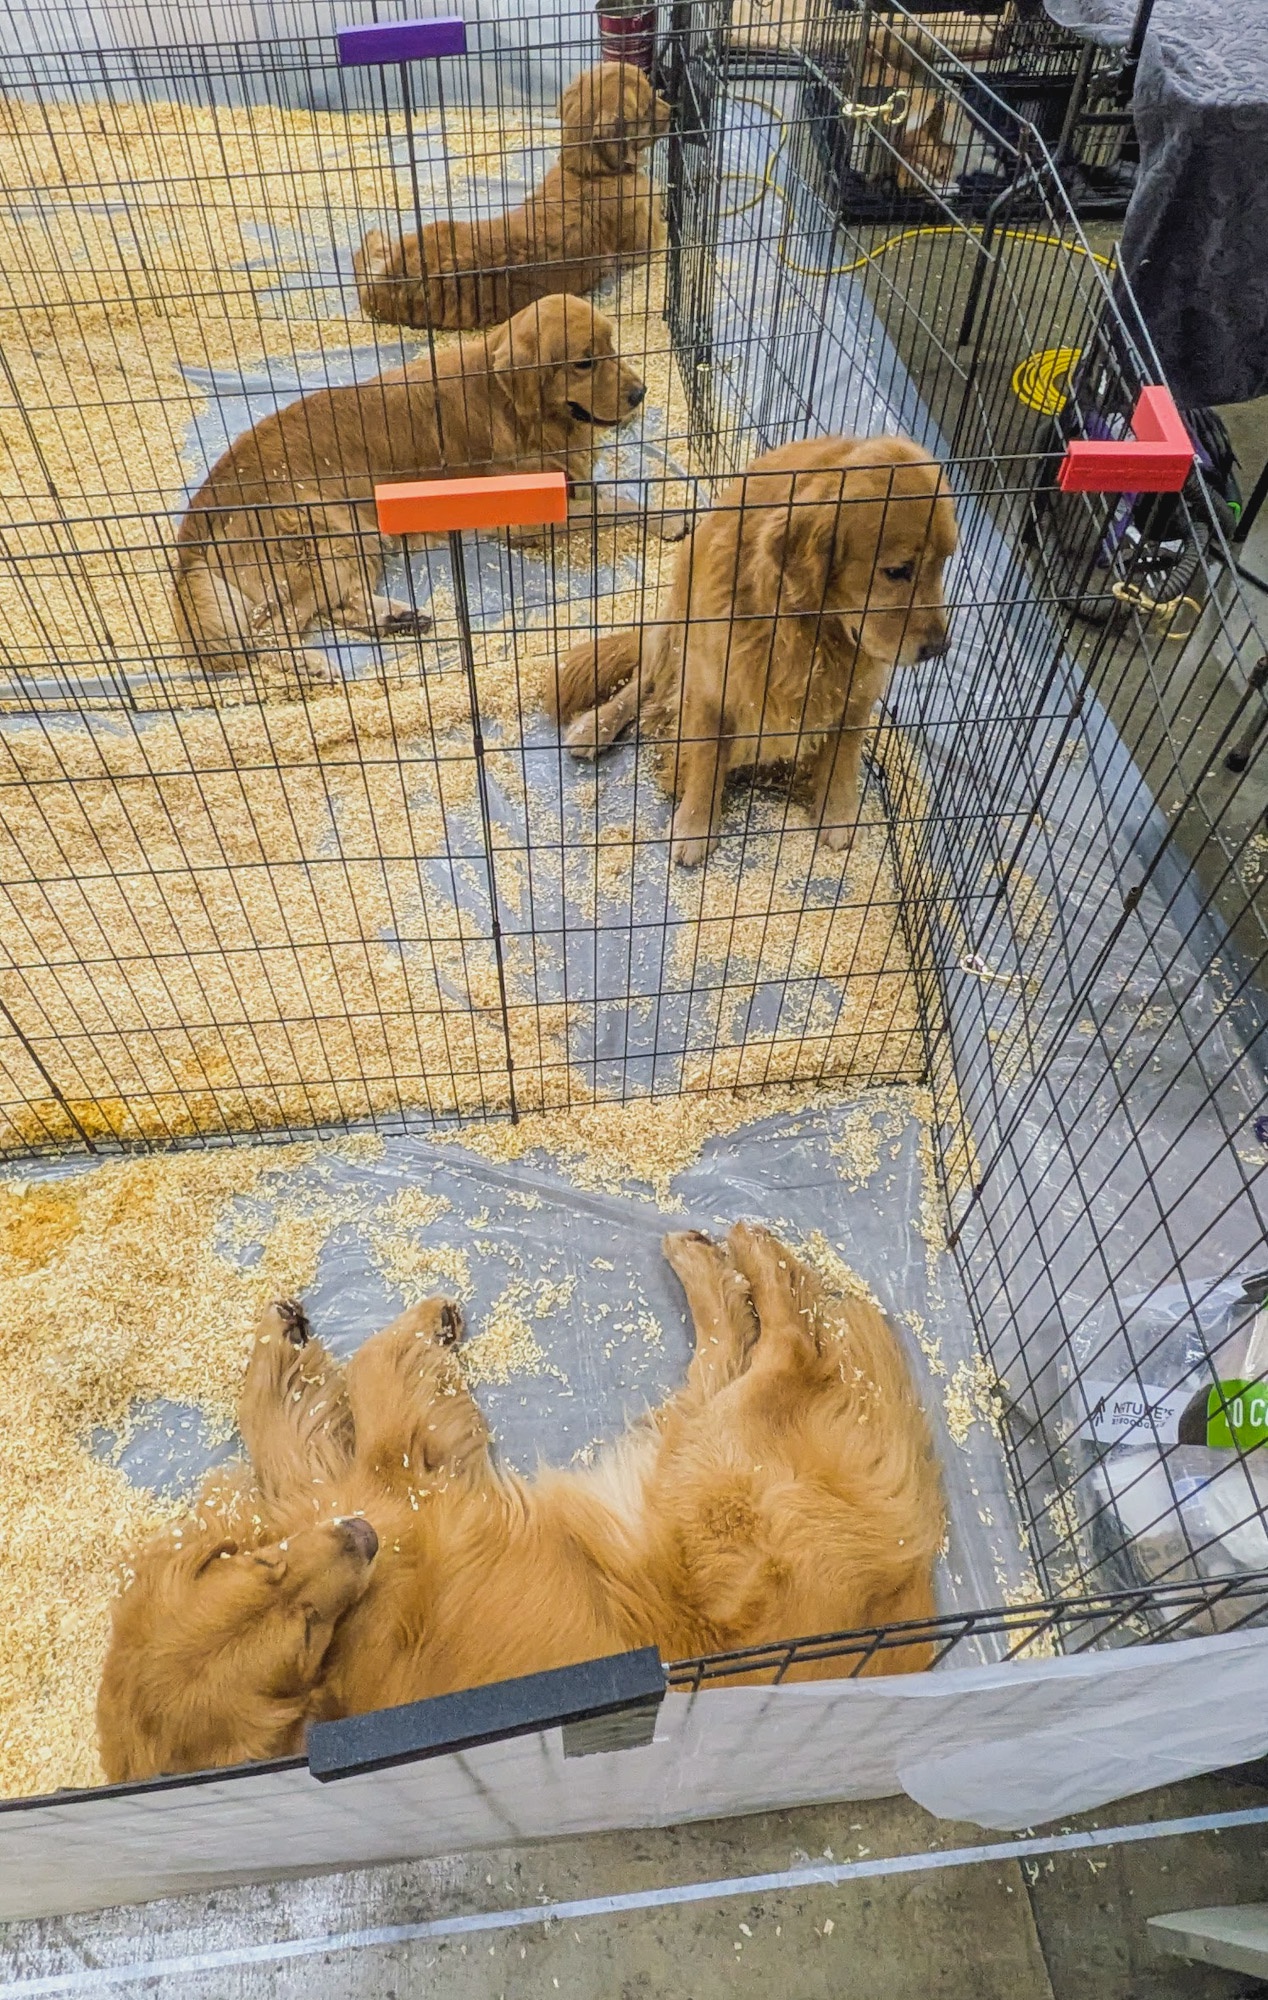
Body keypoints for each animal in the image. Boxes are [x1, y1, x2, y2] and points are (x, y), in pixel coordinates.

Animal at [99, 1224, 944, 1776]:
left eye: (261, 1573)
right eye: (301, 1635)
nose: (361, 1538)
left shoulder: (370, 1486)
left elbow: (312, 1403)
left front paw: (292, 1340)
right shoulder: (386, 1483)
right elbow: (355, 1389)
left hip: (697, 1455)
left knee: (760, 1342)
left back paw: (720, 1251)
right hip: (710, 1468)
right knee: (780, 1346)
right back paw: (737, 1257)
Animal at [548, 434, 952, 864]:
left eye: (944, 564)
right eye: (897, 571)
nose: (940, 647)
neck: (803, 629)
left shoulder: (860, 687)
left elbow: (844, 755)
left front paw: (839, 814)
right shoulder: (713, 682)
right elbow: (707, 759)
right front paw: (695, 827)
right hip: (674, 627)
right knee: (643, 682)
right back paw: (596, 725)